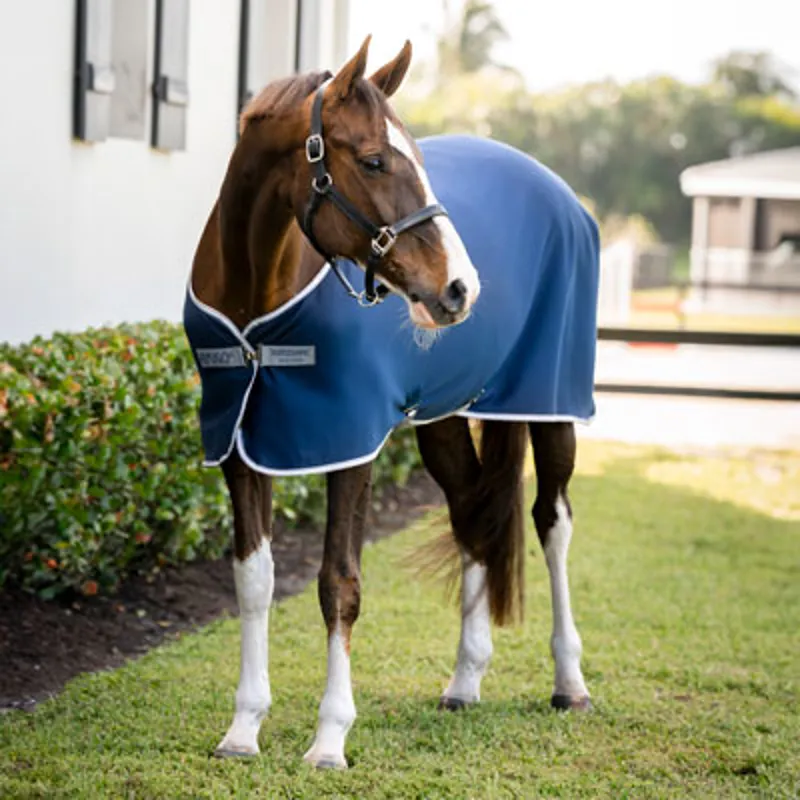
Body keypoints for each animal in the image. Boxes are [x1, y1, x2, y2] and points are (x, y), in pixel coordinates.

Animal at [185, 36, 598, 769]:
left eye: (420, 161)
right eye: (374, 159)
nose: (460, 288)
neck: (256, 297)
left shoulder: (347, 439)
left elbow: (339, 584)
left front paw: (329, 737)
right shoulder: (242, 443)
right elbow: (254, 580)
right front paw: (243, 728)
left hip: (553, 407)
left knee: (552, 522)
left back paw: (569, 682)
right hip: (442, 420)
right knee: (473, 515)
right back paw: (464, 681)